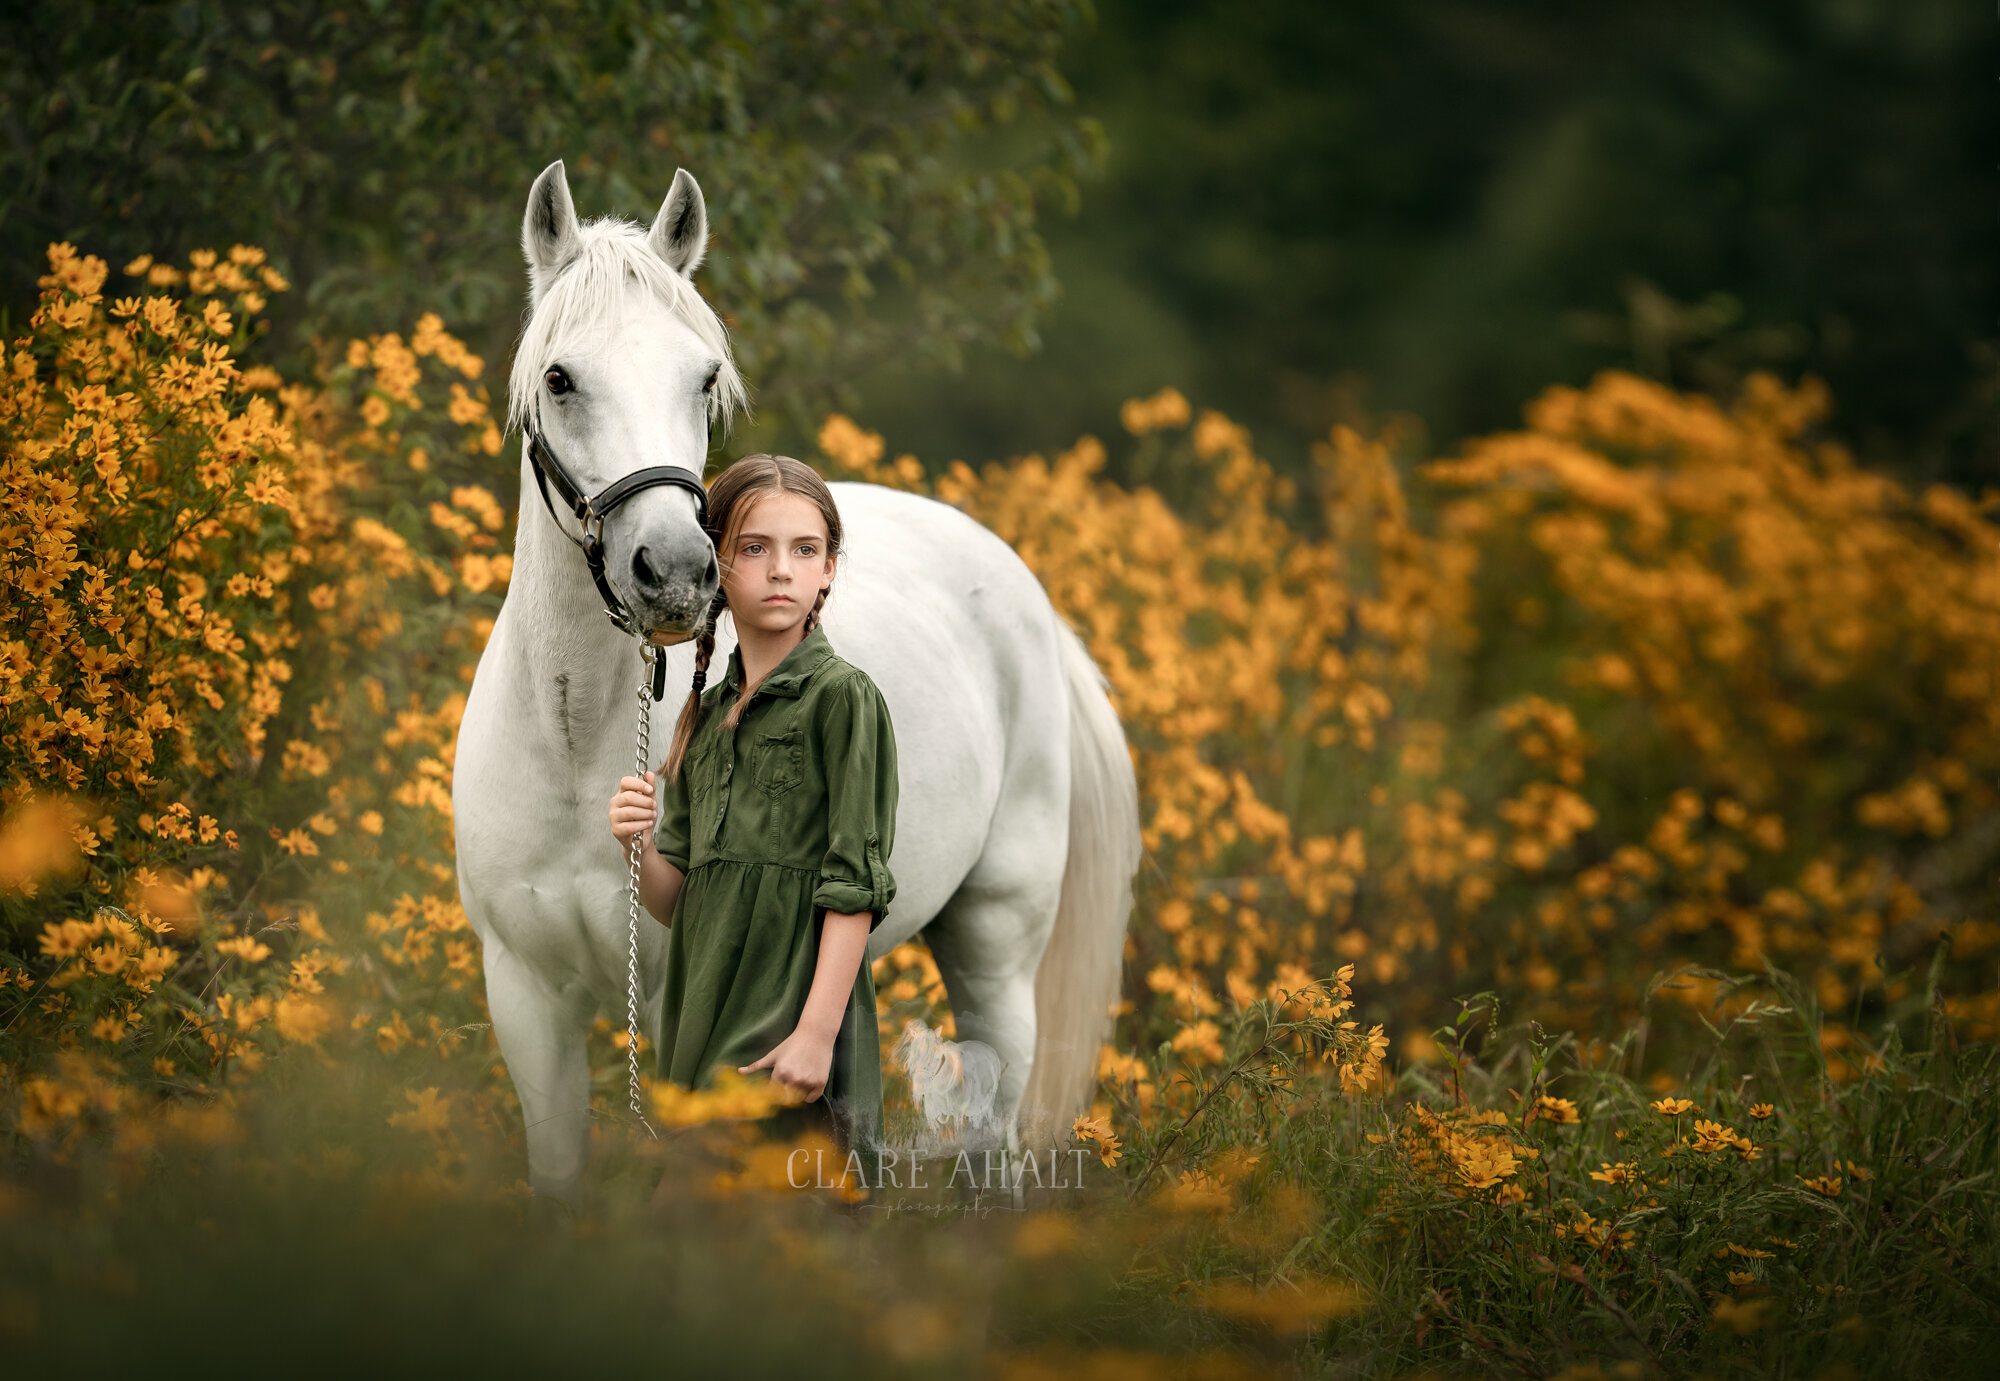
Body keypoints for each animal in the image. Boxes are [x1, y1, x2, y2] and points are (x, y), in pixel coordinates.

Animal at [456, 156, 1144, 1200]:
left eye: (703, 378)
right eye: (560, 378)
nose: (674, 572)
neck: (574, 744)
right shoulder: (526, 998)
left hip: (999, 939)